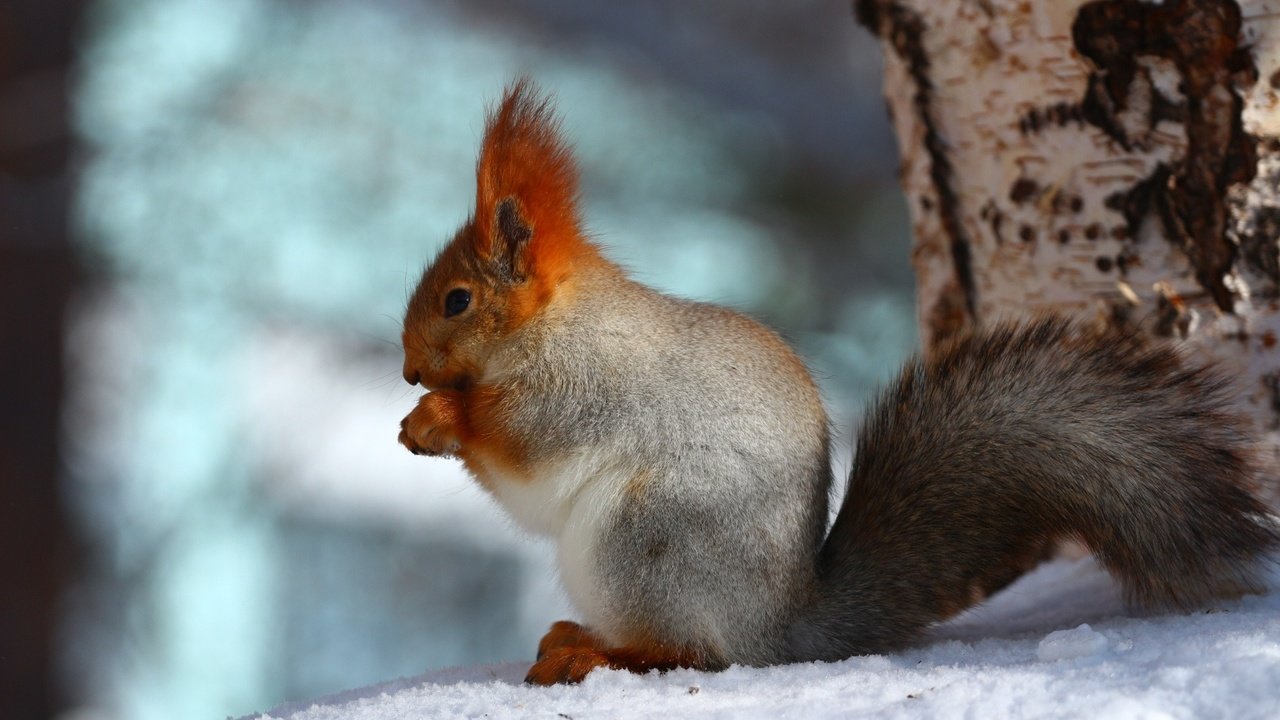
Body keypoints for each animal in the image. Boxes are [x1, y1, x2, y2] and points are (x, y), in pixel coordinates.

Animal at [396, 79, 1280, 681]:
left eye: (457, 300)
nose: (408, 369)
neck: (554, 327)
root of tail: (779, 630)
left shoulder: (581, 393)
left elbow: (523, 451)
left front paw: (440, 418)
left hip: (646, 540)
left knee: (692, 653)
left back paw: (599, 653)